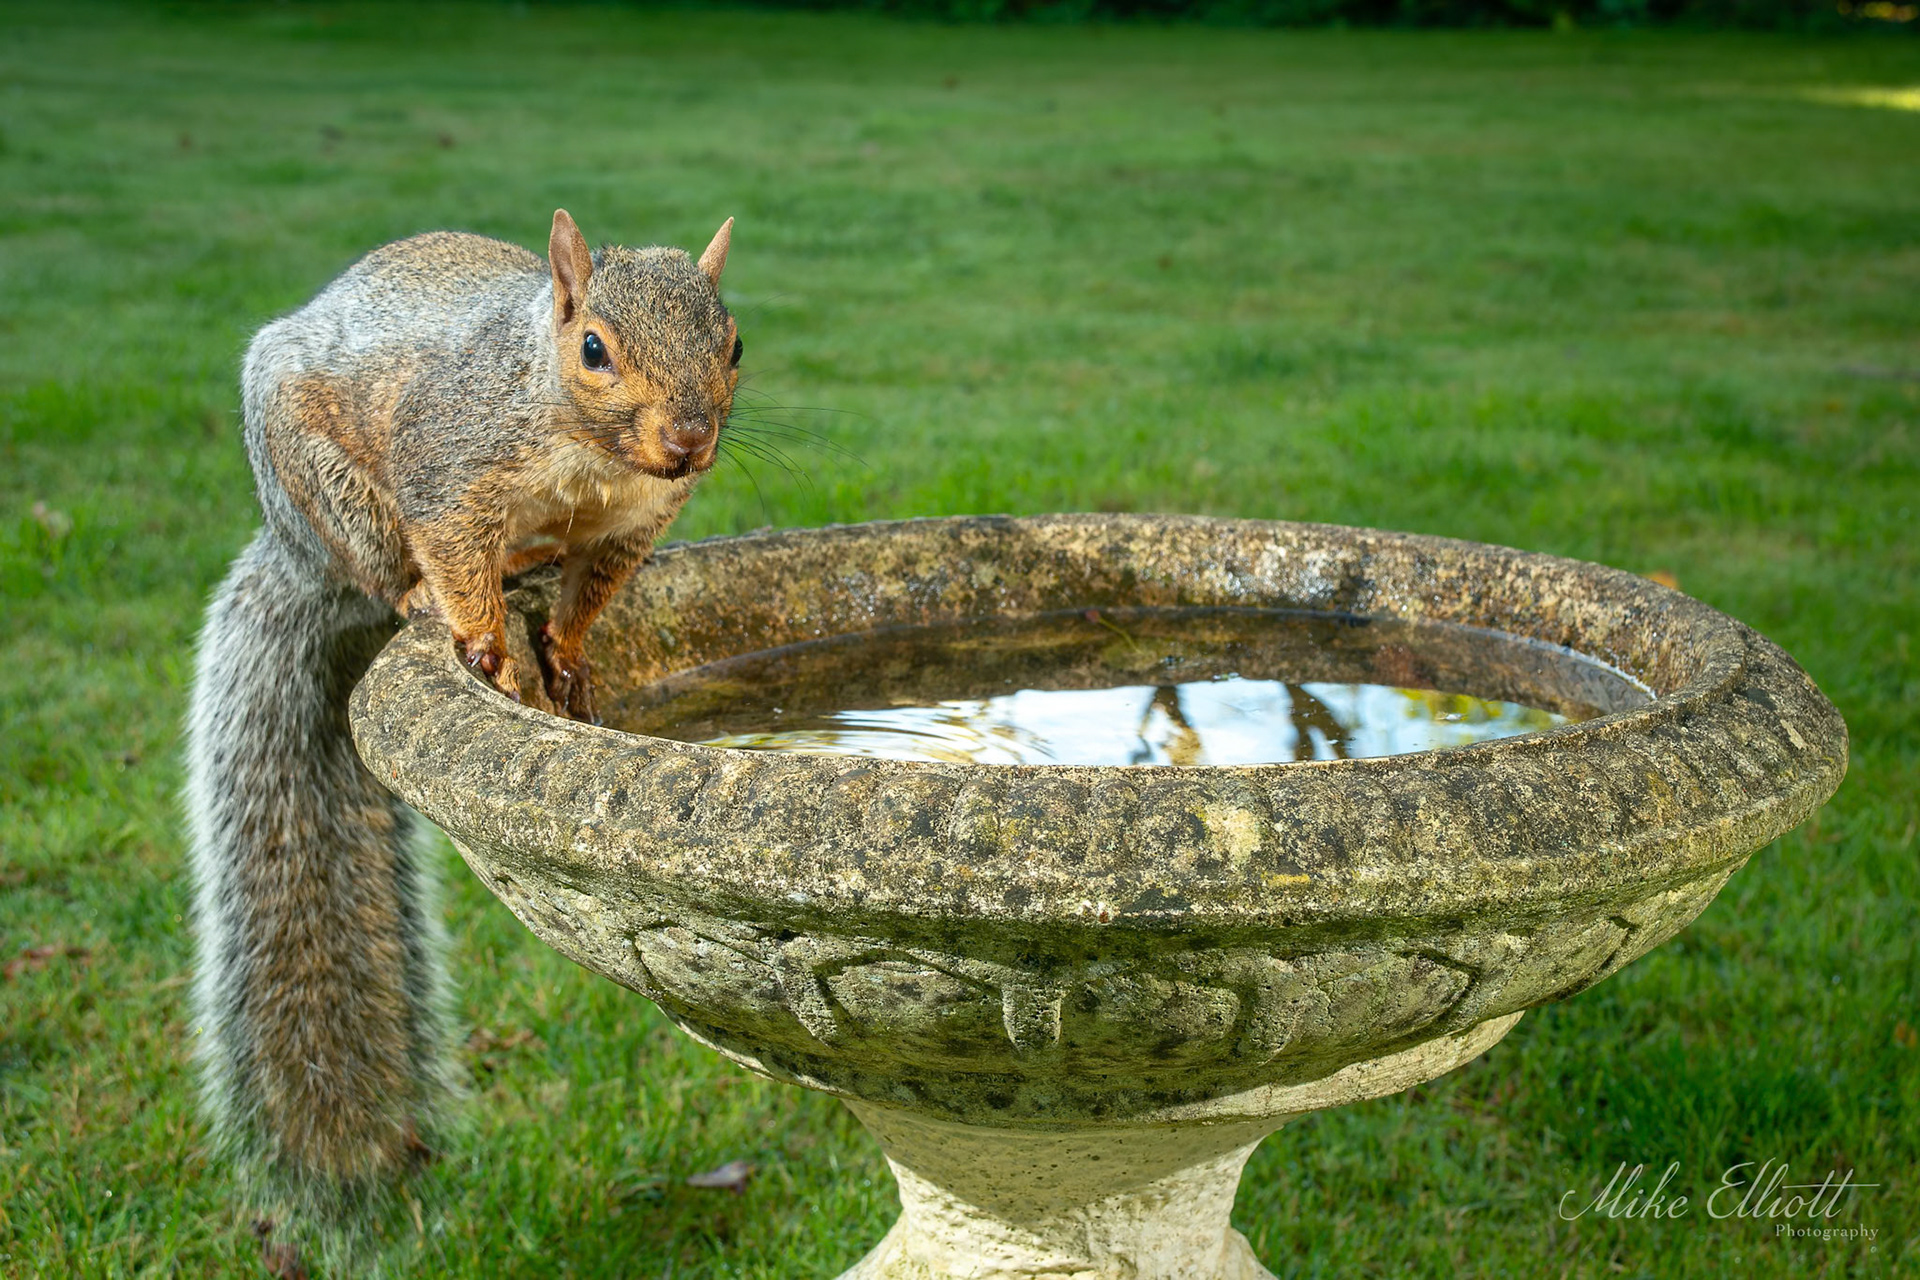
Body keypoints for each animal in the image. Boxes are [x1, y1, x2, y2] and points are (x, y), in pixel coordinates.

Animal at [184, 210, 740, 1241]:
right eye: (593, 348)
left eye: (732, 344)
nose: (690, 439)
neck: (589, 456)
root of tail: (292, 546)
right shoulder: (449, 469)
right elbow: (452, 546)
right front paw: (485, 639)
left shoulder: (630, 525)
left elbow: (591, 595)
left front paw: (564, 651)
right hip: (327, 488)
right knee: (377, 565)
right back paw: (415, 600)